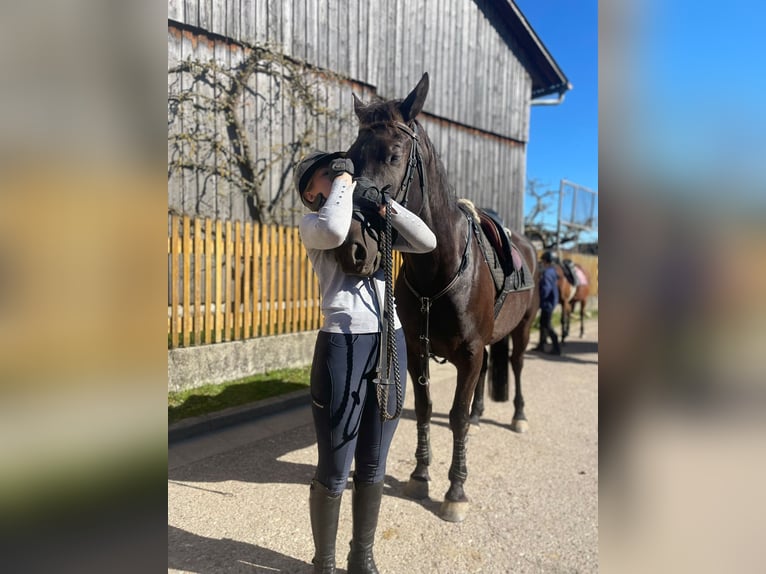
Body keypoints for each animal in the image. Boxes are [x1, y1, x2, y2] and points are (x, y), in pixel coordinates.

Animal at [343, 73, 539, 522]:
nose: (353, 245)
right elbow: (427, 408)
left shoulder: (469, 353)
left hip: (521, 331)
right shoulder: (419, 352)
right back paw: (484, 412)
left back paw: (518, 415)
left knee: (517, 366)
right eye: (351, 157)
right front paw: (420, 475)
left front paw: (455, 490)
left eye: (394, 155)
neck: (440, 269)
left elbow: (456, 417)